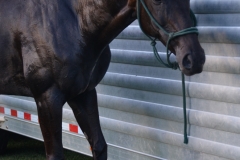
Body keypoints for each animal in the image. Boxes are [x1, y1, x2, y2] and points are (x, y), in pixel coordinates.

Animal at [0, 0, 205, 159]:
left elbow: (99, 145)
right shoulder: (47, 98)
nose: (194, 58)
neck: (74, 21)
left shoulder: (84, 94)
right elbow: (56, 154)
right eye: (157, 0)